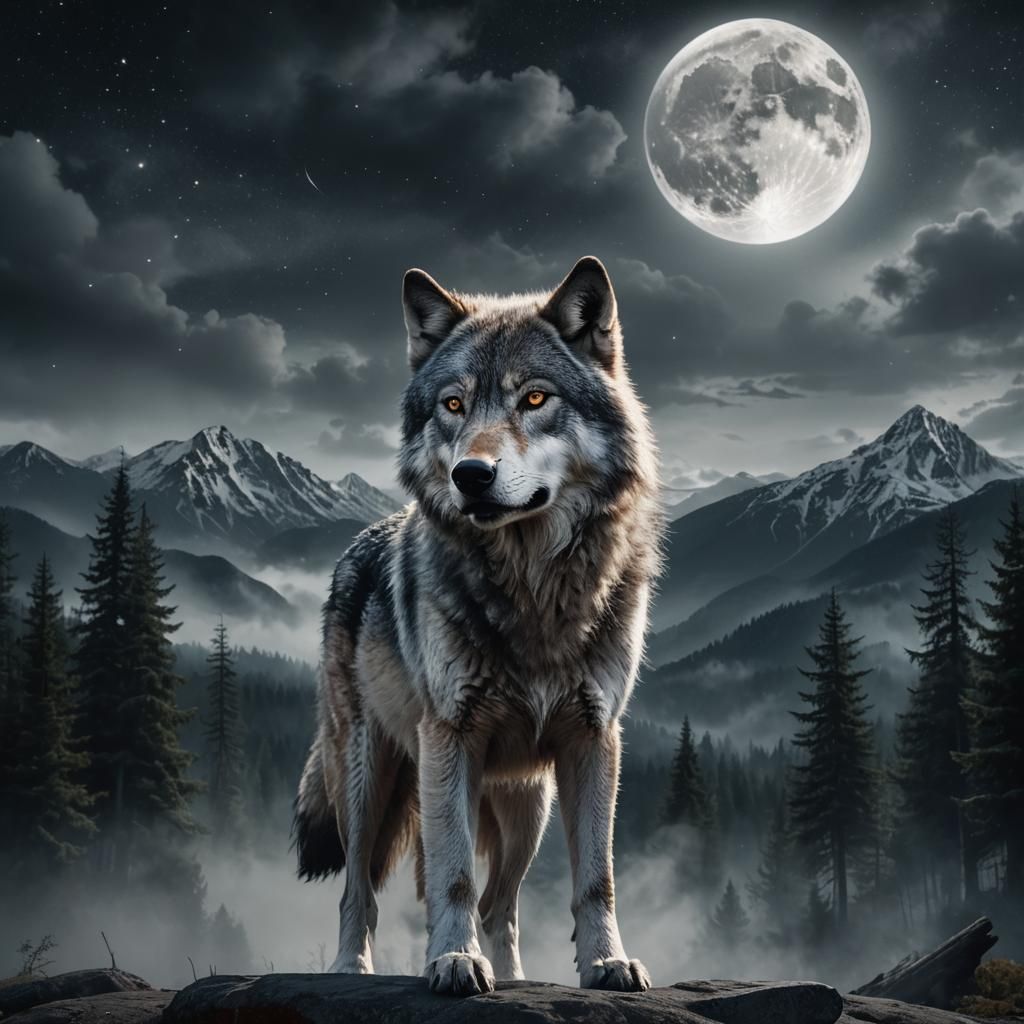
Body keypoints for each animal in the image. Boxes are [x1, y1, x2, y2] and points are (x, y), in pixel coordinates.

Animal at [293, 255, 663, 996]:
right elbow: (453, 876)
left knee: (502, 902)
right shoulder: (450, 738)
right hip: (369, 779)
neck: (534, 592)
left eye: (535, 399)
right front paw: (454, 961)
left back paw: (515, 977)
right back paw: (352, 970)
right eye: (455, 405)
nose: (471, 474)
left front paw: (606, 963)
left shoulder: (594, 739)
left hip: (526, 805)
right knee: (360, 891)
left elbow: (596, 880)